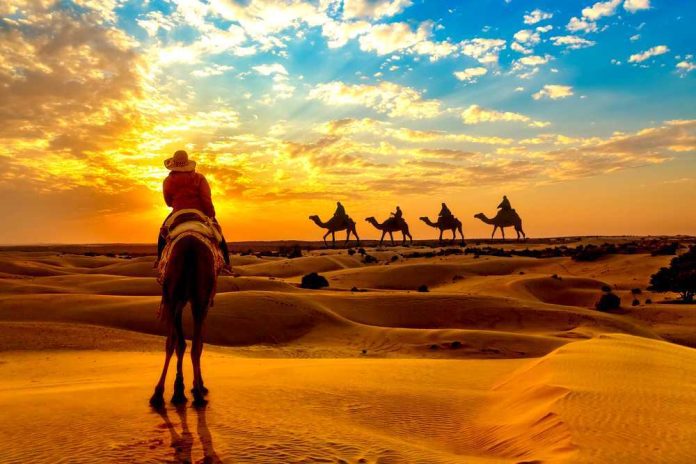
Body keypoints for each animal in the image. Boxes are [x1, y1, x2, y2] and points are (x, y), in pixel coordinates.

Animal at [151, 234, 216, 408]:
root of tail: (190, 248)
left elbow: (179, 343)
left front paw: (179, 389)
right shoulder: (202, 304)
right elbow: (196, 343)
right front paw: (193, 385)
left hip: (174, 296)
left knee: (173, 342)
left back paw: (159, 394)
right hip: (197, 300)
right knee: (192, 345)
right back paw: (198, 395)